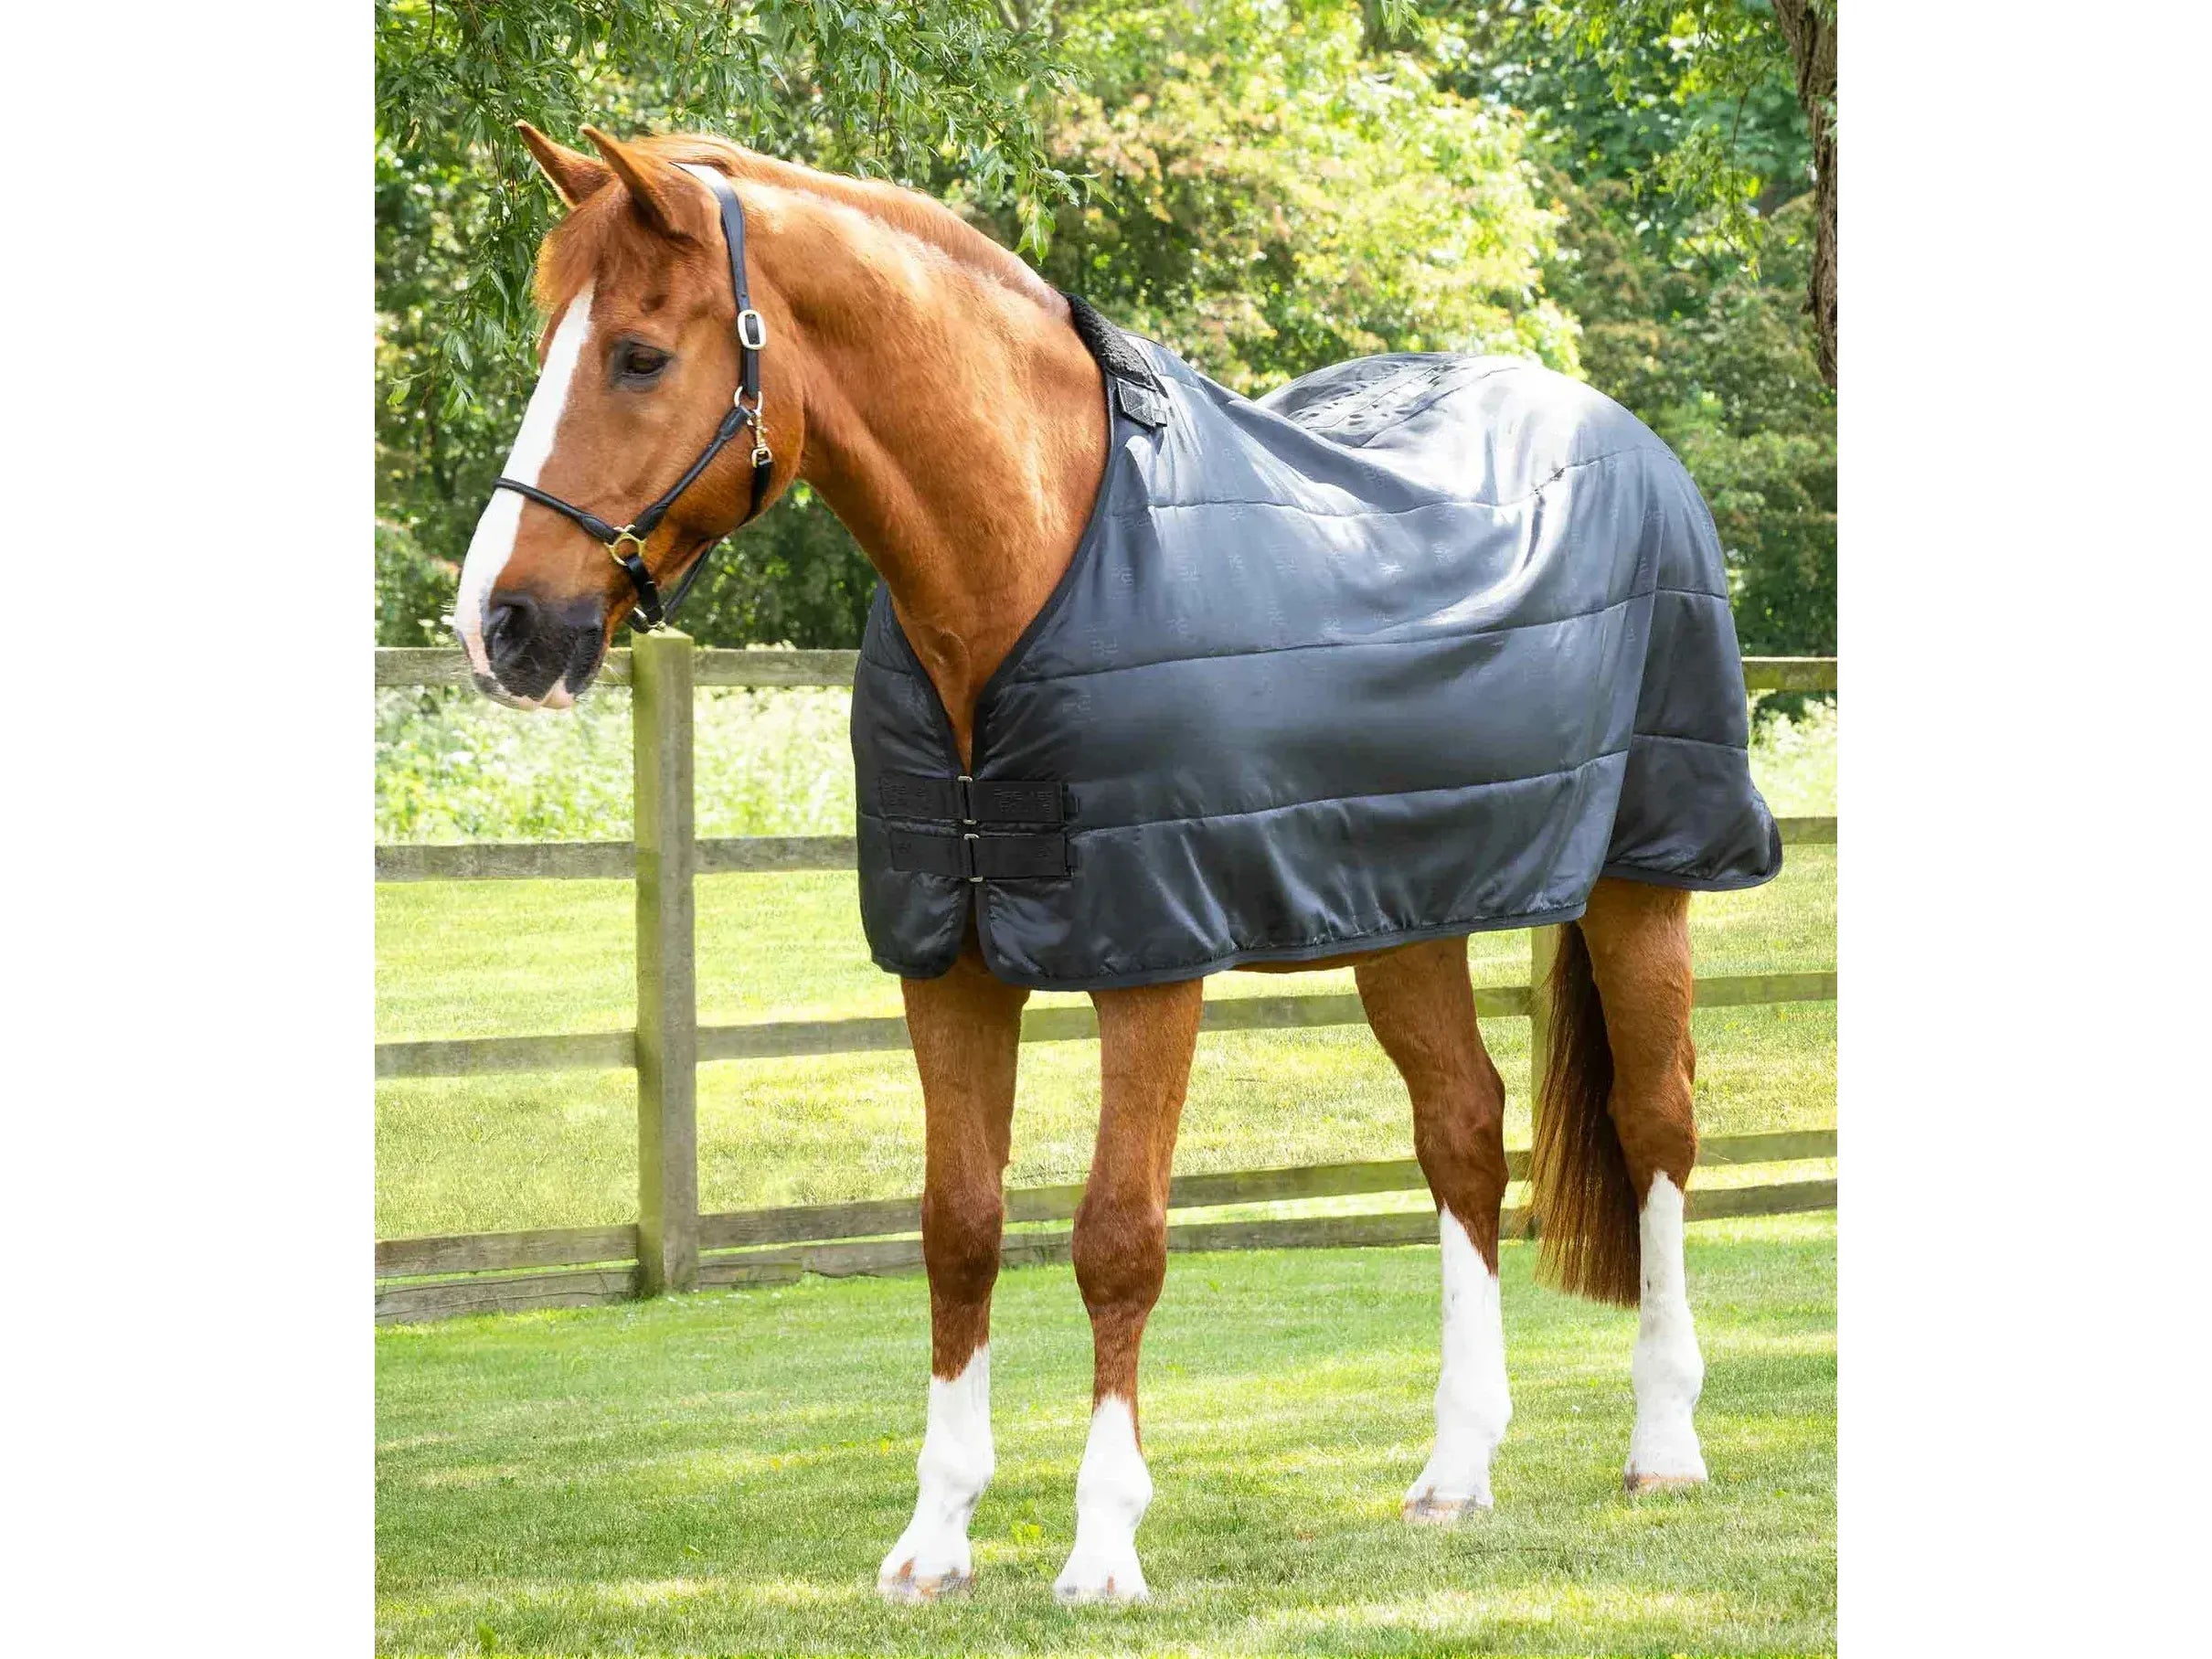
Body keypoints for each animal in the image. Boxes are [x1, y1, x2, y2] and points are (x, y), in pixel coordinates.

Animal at [452, 124, 1733, 1604]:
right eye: (552, 336)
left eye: (639, 355)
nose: (499, 625)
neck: (1034, 556)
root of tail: (1625, 438)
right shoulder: (946, 962)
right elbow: (957, 1227)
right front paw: (934, 1538)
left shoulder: (1150, 954)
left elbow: (1118, 1238)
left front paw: (1104, 1542)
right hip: (1406, 908)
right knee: (1464, 1133)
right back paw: (1455, 1471)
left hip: (1644, 878)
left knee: (1656, 1127)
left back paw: (1664, 1446)